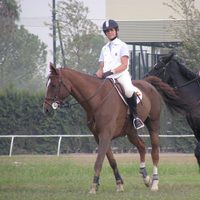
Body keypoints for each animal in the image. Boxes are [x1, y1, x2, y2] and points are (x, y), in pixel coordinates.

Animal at [43, 63, 187, 194]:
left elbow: (99, 161)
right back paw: (146, 178)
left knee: (155, 152)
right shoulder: (99, 136)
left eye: (53, 85)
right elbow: (111, 160)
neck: (97, 99)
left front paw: (93, 186)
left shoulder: (105, 135)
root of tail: (147, 83)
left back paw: (155, 183)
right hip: (130, 132)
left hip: (153, 126)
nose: (46, 109)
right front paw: (119, 183)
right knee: (141, 146)